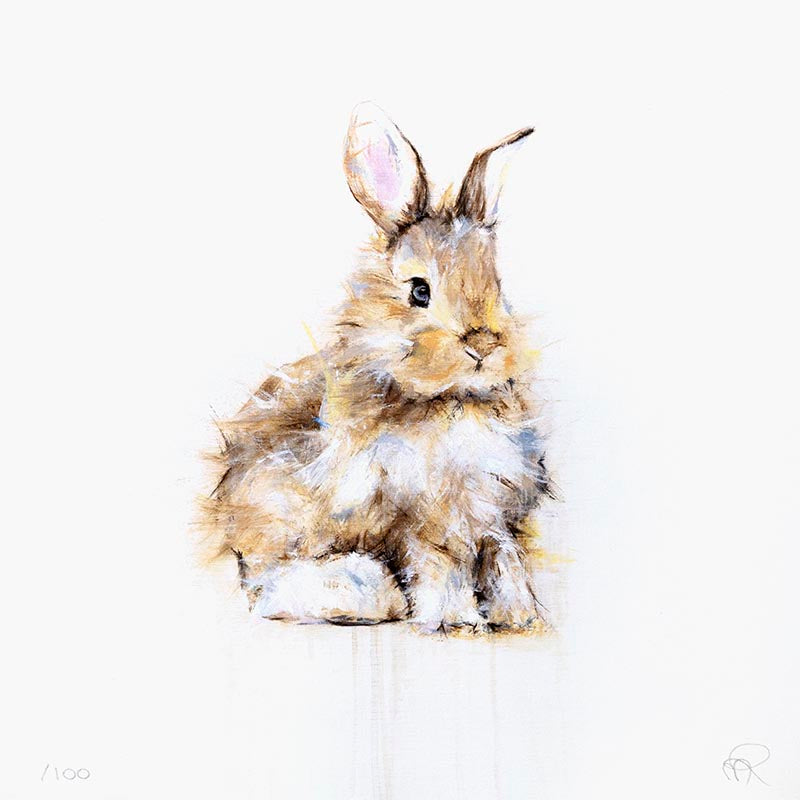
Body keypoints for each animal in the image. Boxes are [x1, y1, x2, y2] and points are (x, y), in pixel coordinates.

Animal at [200, 103, 555, 633]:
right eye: (419, 291)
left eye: (498, 287)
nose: (483, 344)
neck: (447, 401)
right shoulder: (417, 517)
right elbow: (440, 565)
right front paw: (456, 622)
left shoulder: (489, 513)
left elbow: (505, 559)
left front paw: (521, 619)